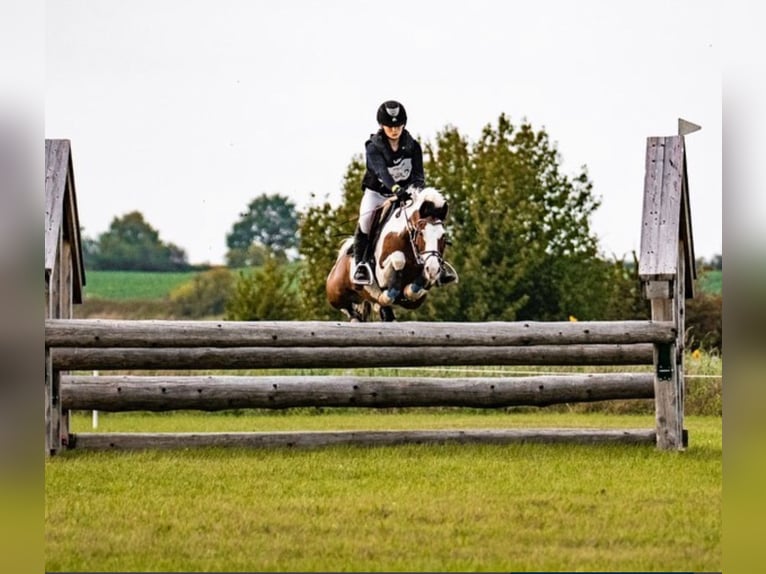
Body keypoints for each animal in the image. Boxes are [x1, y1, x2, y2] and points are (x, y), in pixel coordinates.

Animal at [324, 189, 456, 324]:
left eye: (443, 236)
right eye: (420, 233)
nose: (433, 268)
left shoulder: (417, 298)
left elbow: (414, 291)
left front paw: (406, 291)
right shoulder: (381, 273)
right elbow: (398, 259)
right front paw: (387, 294)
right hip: (335, 294)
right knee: (346, 307)